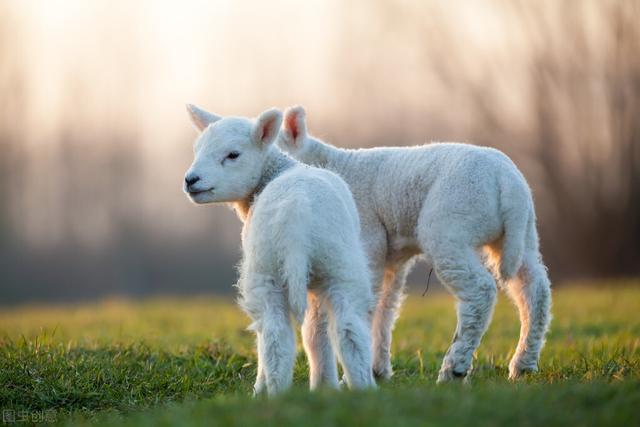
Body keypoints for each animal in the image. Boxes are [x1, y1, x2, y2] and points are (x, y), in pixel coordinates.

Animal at [182, 105, 378, 396]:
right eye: (197, 149)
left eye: (233, 154)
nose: (191, 180)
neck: (276, 172)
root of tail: (296, 213)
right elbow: (315, 333)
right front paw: (324, 387)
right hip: (337, 265)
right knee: (349, 331)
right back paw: (363, 388)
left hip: (265, 270)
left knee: (275, 337)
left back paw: (269, 393)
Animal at [278, 105, 552, 382]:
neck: (331, 166)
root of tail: (507, 182)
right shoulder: (390, 259)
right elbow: (384, 308)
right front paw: (377, 370)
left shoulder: (367, 241)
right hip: (522, 235)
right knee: (534, 289)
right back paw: (523, 365)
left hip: (449, 227)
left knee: (480, 291)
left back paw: (454, 369)